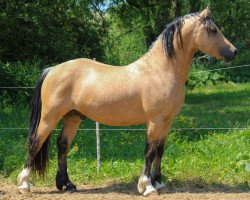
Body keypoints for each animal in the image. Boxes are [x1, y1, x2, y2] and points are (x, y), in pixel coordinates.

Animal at [17, 8, 236, 197]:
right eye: (213, 30)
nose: (234, 51)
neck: (160, 70)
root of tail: (52, 69)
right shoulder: (155, 121)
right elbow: (149, 151)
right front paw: (147, 187)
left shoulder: (167, 121)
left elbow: (160, 150)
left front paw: (159, 182)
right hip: (49, 116)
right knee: (35, 143)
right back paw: (24, 185)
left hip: (73, 118)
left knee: (62, 145)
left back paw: (67, 184)